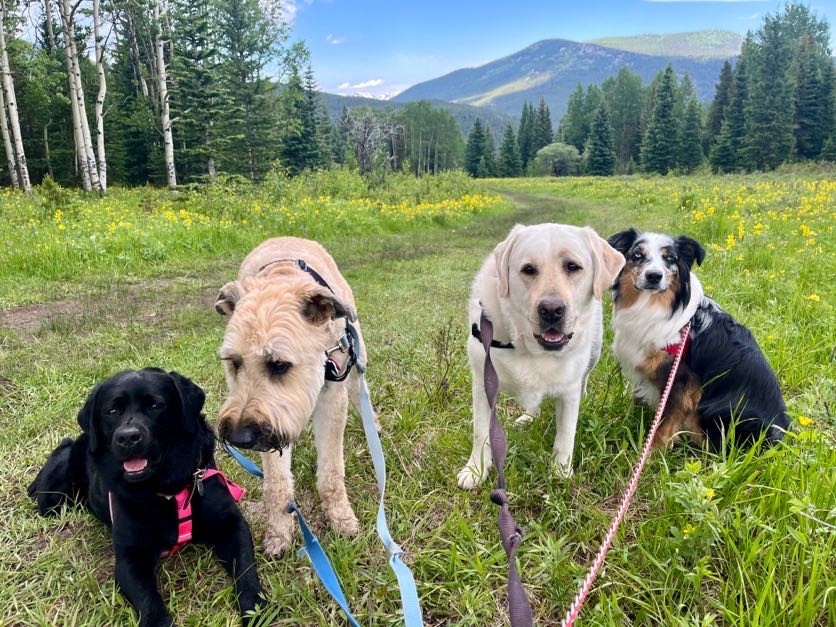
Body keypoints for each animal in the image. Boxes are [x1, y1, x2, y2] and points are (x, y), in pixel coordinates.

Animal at [27, 368, 262, 627]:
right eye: (112, 411)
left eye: (155, 405)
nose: (128, 437)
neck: (166, 491)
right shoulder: (130, 557)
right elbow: (149, 601)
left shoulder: (231, 524)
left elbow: (246, 570)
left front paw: (255, 609)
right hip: (54, 497)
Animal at [216, 238, 372, 556]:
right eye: (234, 362)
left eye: (279, 365)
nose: (238, 438)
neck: (281, 280)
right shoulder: (268, 430)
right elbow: (276, 483)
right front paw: (279, 532)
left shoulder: (332, 399)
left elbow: (331, 472)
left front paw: (340, 517)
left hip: (357, 360)